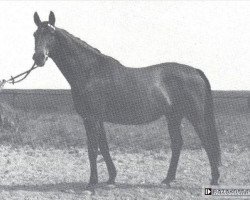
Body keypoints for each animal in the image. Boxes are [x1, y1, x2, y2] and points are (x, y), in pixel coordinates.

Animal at [31, 11, 221, 189]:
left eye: (51, 34)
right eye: (35, 34)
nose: (38, 58)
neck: (90, 71)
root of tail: (195, 71)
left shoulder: (90, 118)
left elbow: (92, 149)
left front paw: (92, 183)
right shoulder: (98, 119)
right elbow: (104, 147)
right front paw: (111, 178)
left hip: (195, 117)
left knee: (207, 142)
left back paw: (214, 179)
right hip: (174, 116)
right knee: (177, 144)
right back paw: (168, 179)